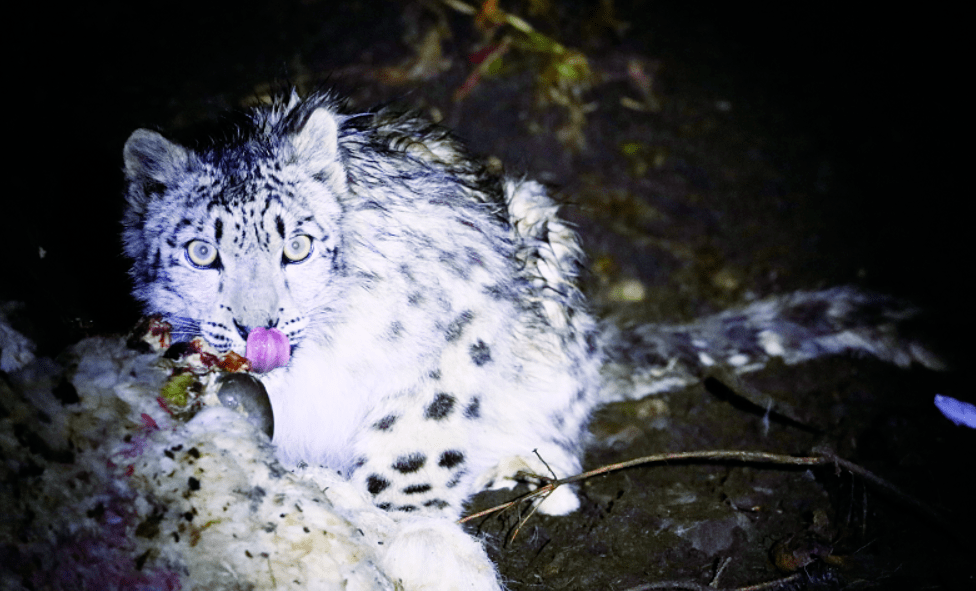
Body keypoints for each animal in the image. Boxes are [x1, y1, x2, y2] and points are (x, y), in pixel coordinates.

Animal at [120, 90, 936, 528]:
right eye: (202, 253)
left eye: (297, 244)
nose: (255, 324)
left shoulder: (457, 334)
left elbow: (414, 444)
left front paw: (387, 521)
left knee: (564, 446)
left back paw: (527, 471)